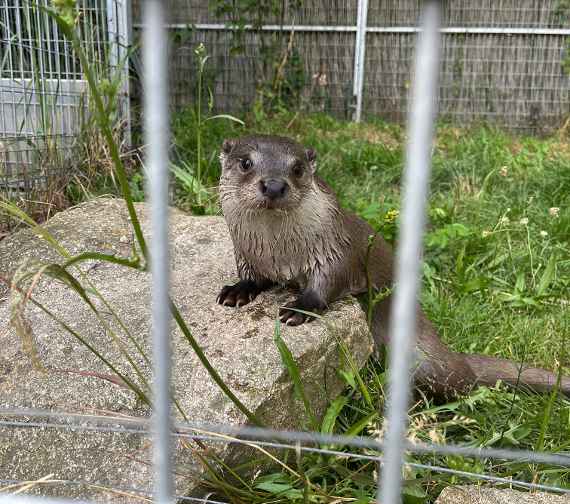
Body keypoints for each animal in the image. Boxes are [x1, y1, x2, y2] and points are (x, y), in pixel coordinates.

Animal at [215, 134, 564, 398]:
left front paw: (299, 307)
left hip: (428, 360)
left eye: (298, 168)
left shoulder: (334, 249)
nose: (274, 185)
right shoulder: (246, 253)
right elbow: (251, 277)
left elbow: (328, 282)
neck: (280, 253)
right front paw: (237, 291)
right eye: (246, 162)